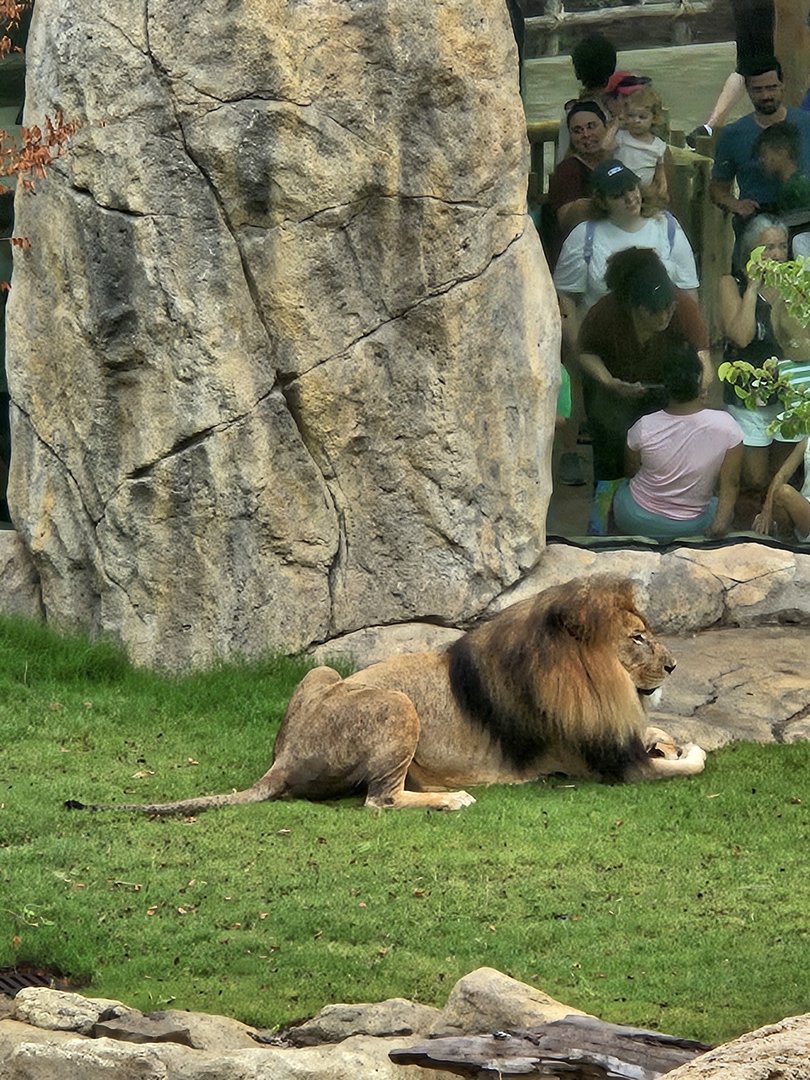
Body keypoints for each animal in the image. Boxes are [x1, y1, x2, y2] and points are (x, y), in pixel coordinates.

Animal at [66, 574, 706, 816]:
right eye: (638, 637)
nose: (674, 664)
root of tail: (284, 760)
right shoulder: (599, 763)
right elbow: (688, 766)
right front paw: (688, 750)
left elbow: (655, 732)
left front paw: (666, 738)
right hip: (399, 706)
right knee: (380, 801)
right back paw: (452, 799)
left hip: (322, 673)